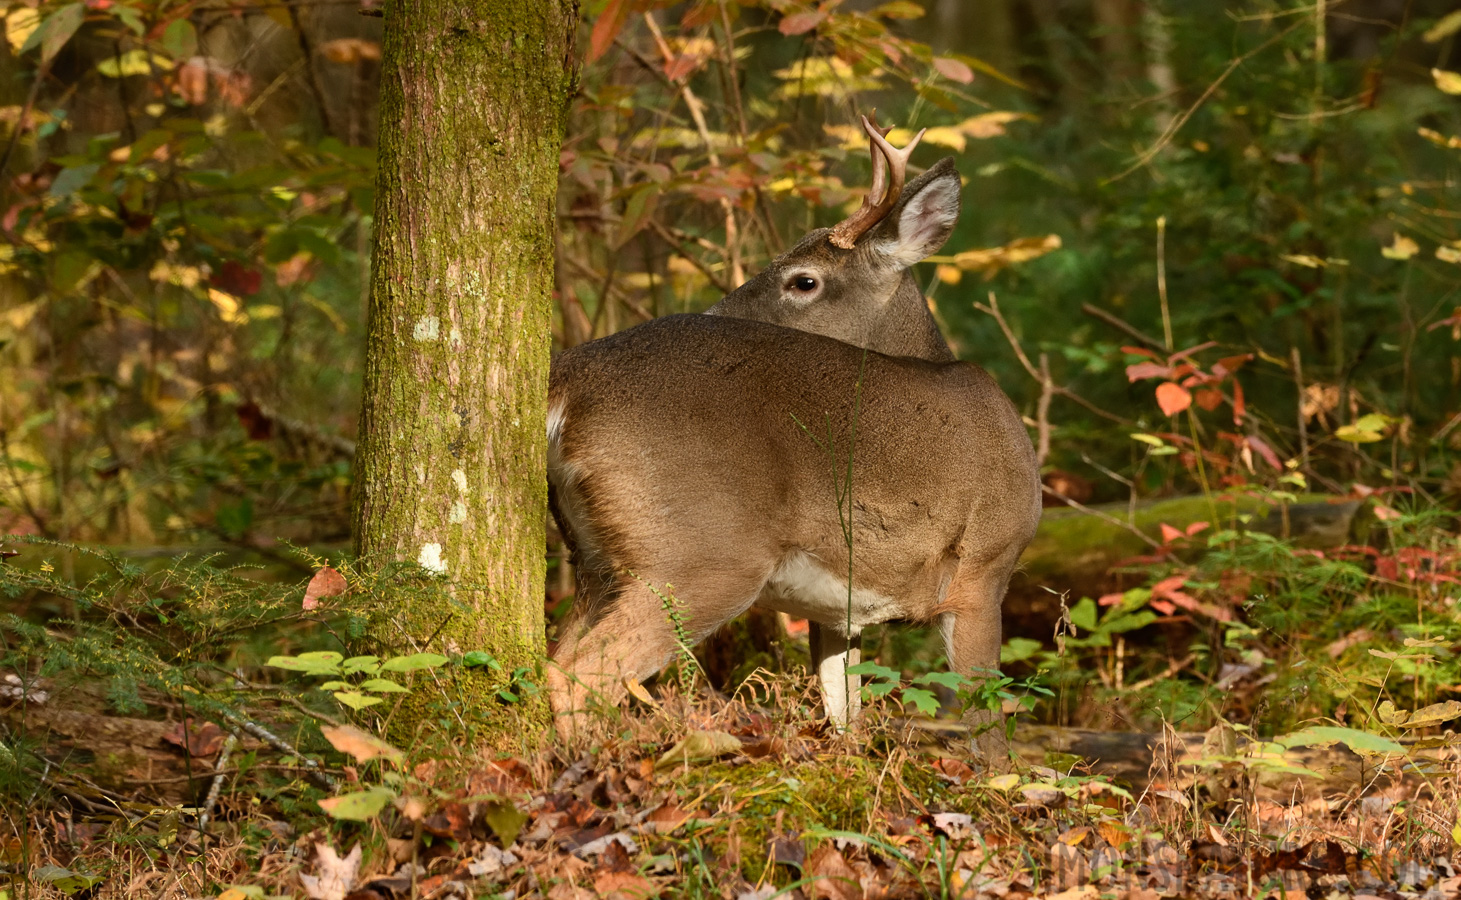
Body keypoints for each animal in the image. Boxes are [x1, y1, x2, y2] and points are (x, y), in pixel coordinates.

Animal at [546, 116, 1040, 753]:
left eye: (804, 280)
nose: (712, 314)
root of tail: (566, 379)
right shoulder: (983, 567)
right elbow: (988, 731)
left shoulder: (842, 607)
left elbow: (846, 717)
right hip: (700, 554)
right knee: (576, 675)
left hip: (594, 555)